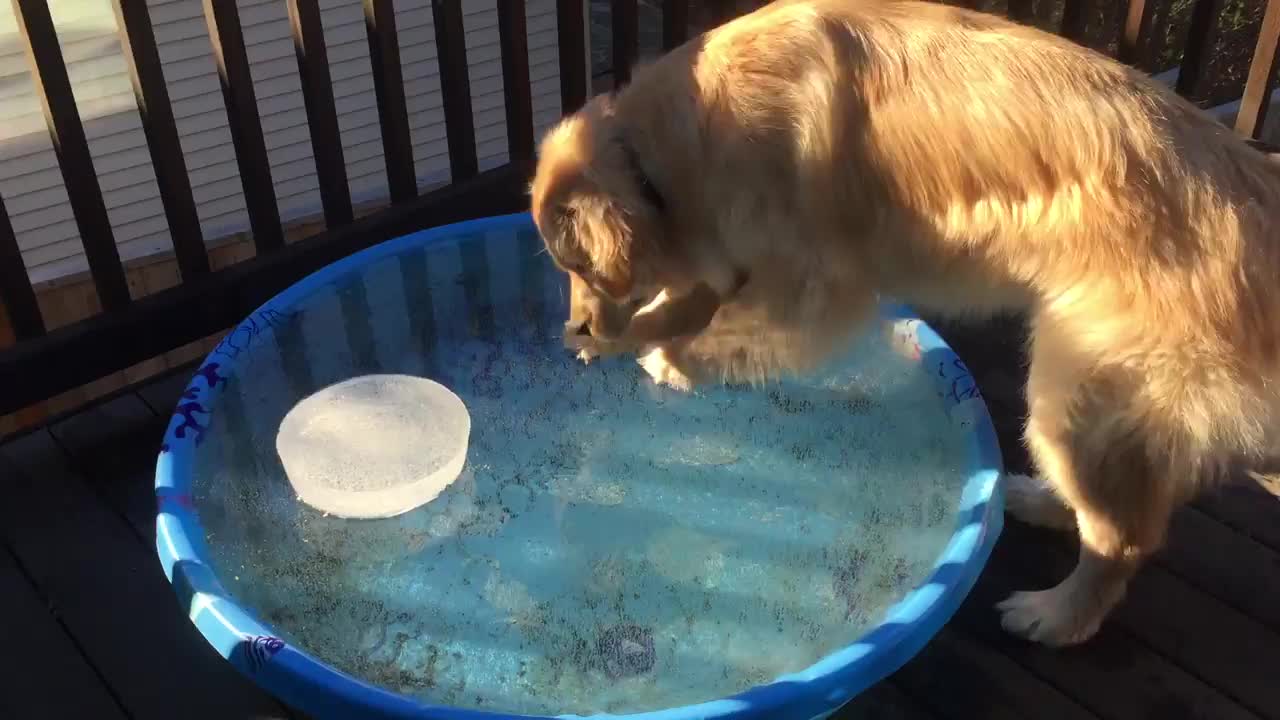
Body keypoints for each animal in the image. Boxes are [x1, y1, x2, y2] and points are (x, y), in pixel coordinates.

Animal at [524, 0, 1280, 645]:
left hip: (1074, 387)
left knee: (1123, 538)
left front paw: (669, 361)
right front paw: (631, 338)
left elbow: (728, 328)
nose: (577, 331)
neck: (666, 146)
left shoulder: (811, 290)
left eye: (573, 262)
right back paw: (1037, 499)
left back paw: (1054, 614)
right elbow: (684, 304)